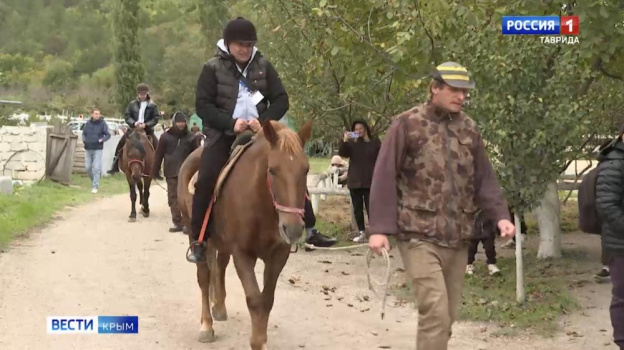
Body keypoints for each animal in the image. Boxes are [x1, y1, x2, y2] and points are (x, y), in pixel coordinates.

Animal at [178, 119, 312, 348]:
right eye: (272, 170)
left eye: (306, 170)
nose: (293, 229)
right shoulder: (243, 254)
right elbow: (255, 300)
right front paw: (258, 342)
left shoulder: (278, 256)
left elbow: (267, 300)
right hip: (196, 237)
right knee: (204, 277)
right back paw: (206, 325)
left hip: (220, 242)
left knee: (219, 266)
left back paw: (219, 307)